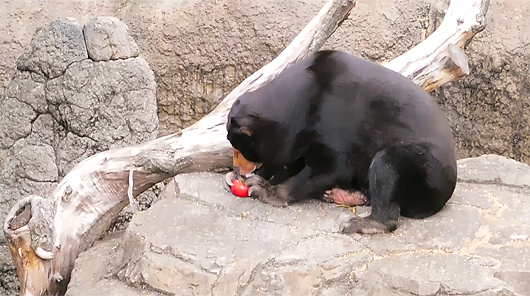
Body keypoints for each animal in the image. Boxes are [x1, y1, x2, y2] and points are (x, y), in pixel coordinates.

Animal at [225, 49, 456, 234]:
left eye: (238, 148)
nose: (237, 170)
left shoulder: (334, 117)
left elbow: (335, 165)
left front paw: (263, 189)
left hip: (424, 167)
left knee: (386, 165)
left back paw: (358, 222)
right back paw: (341, 195)